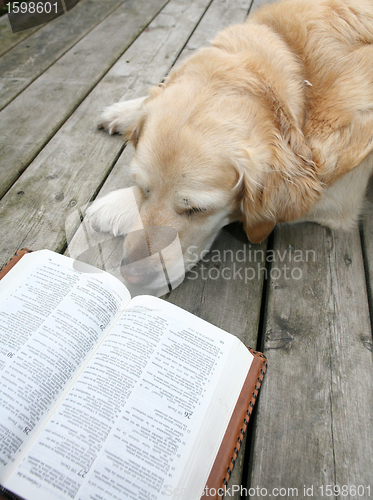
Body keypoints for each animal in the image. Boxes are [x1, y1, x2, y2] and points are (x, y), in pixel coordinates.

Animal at [86, 0, 372, 292]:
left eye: (198, 210)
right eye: (143, 188)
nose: (134, 276)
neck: (297, 61)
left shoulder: (339, 197)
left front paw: (112, 206)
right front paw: (124, 111)